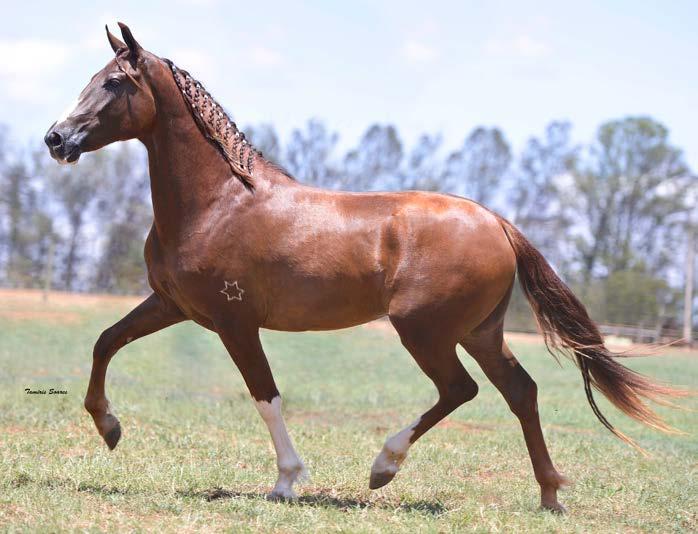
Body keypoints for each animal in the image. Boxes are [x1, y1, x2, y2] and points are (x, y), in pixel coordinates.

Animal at [46, 25, 684, 516]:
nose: (56, 138)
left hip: (426, 330)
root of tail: (497, 222)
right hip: (480, 332)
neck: (219, 201)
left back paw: (384, 467)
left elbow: (265, 394)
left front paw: (286, 482)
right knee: (520, 392)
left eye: (114, 82)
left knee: (461, 389)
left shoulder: (234, 322)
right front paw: (109, 427)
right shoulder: (172, 305)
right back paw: (550, 496)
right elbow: (105, 342)